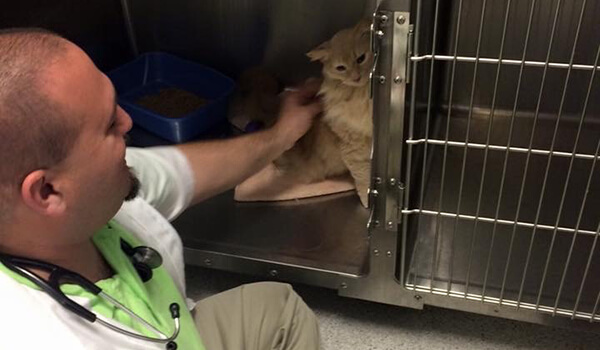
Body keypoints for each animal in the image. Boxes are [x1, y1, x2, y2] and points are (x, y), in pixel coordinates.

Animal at [274, 18, 372, 205]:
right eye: (341, 68)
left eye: (361, 59)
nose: (356, 77)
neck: (360, 93)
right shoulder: (353, 147)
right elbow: (363, 178)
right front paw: (367, 201)